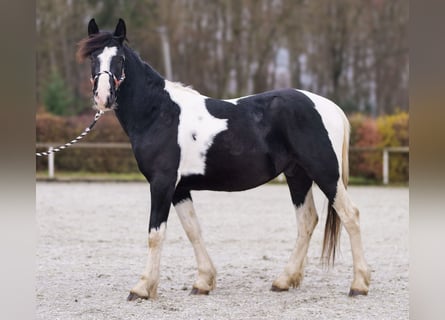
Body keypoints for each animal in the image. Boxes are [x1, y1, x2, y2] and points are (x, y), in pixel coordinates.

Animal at [78, 19, 370, 300]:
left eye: (119, 59)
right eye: (93, 58)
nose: (103, 97)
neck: (159, 112)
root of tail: (329, 107)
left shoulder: (162, 183)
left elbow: (155, 234)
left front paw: (142, 288)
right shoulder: (179, 188)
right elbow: (193, 230)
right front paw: (203, 282)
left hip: (325, 174)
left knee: (350, 215)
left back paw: (358, 285)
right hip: (298, 175)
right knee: (307, 221)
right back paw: (284, 280)